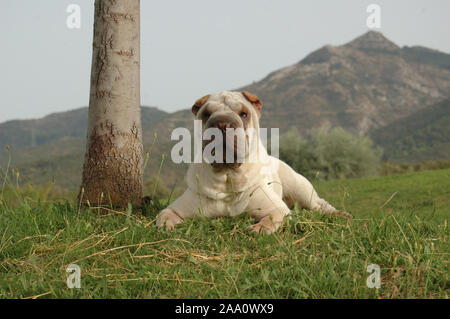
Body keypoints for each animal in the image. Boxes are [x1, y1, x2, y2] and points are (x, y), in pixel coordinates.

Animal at [157, 90, 352, 235]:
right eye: (206, 114)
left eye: (244, 114)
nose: (222, 123)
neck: (228, 177)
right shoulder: (177, 208)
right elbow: (165, 216)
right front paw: (166, 226)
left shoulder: (277, 209)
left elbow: (270, 218)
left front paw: (259, 228)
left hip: (300, 189)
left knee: (319, 205)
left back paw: (339, 214)